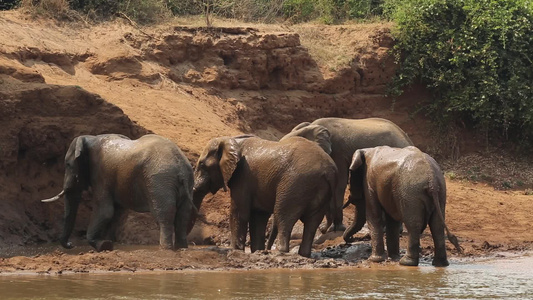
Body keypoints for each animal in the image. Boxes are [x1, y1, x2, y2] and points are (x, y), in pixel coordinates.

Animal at [40, 135, 193, 252]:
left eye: (68, 165)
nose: (71, 245)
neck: (90, 138)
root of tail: (180, 165)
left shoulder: (101, 174)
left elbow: (105, 211)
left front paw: (104, 245)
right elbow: (116, 213)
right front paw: (108, 244)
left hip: (160, 180)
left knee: (164, 216)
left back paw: (165, 250)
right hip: (185, 181)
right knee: (183, 216)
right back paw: (181, 248)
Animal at [192, 135, 336, 256]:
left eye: (202, 164)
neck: (232, 140)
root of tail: (329, 171)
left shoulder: (243, 175)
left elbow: (240, 212)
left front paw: (236, 251)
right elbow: (258, 216)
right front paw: (257, 251)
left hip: (296, 184)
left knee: (284, 215)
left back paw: (280, 251)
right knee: (312, 222)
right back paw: (304, 254)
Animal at [280, 117, 414, 232]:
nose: (322, 229)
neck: (311, 126)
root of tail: (407, 137)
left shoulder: (338, 151)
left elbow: (339, 182)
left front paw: (337, 228)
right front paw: (329, 228)